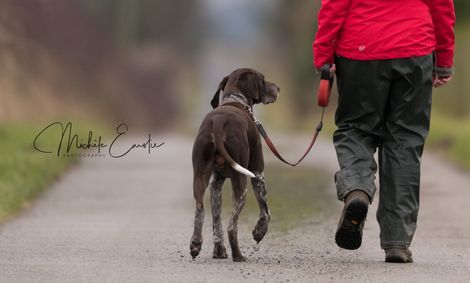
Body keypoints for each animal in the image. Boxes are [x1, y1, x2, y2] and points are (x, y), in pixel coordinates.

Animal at [190, 68, 280, 262]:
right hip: (241, 184)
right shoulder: (258, 173)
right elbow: (266, 211)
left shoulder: (215, 184)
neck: (235, 100)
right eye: (262, 79)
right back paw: (238, 255)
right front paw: (259, 231)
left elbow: (216, 223)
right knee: (232, 226)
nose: (278, 88)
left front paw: (219, 251)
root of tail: (218, 123)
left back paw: (196, 244)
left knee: (200, 211)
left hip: (200, 177)